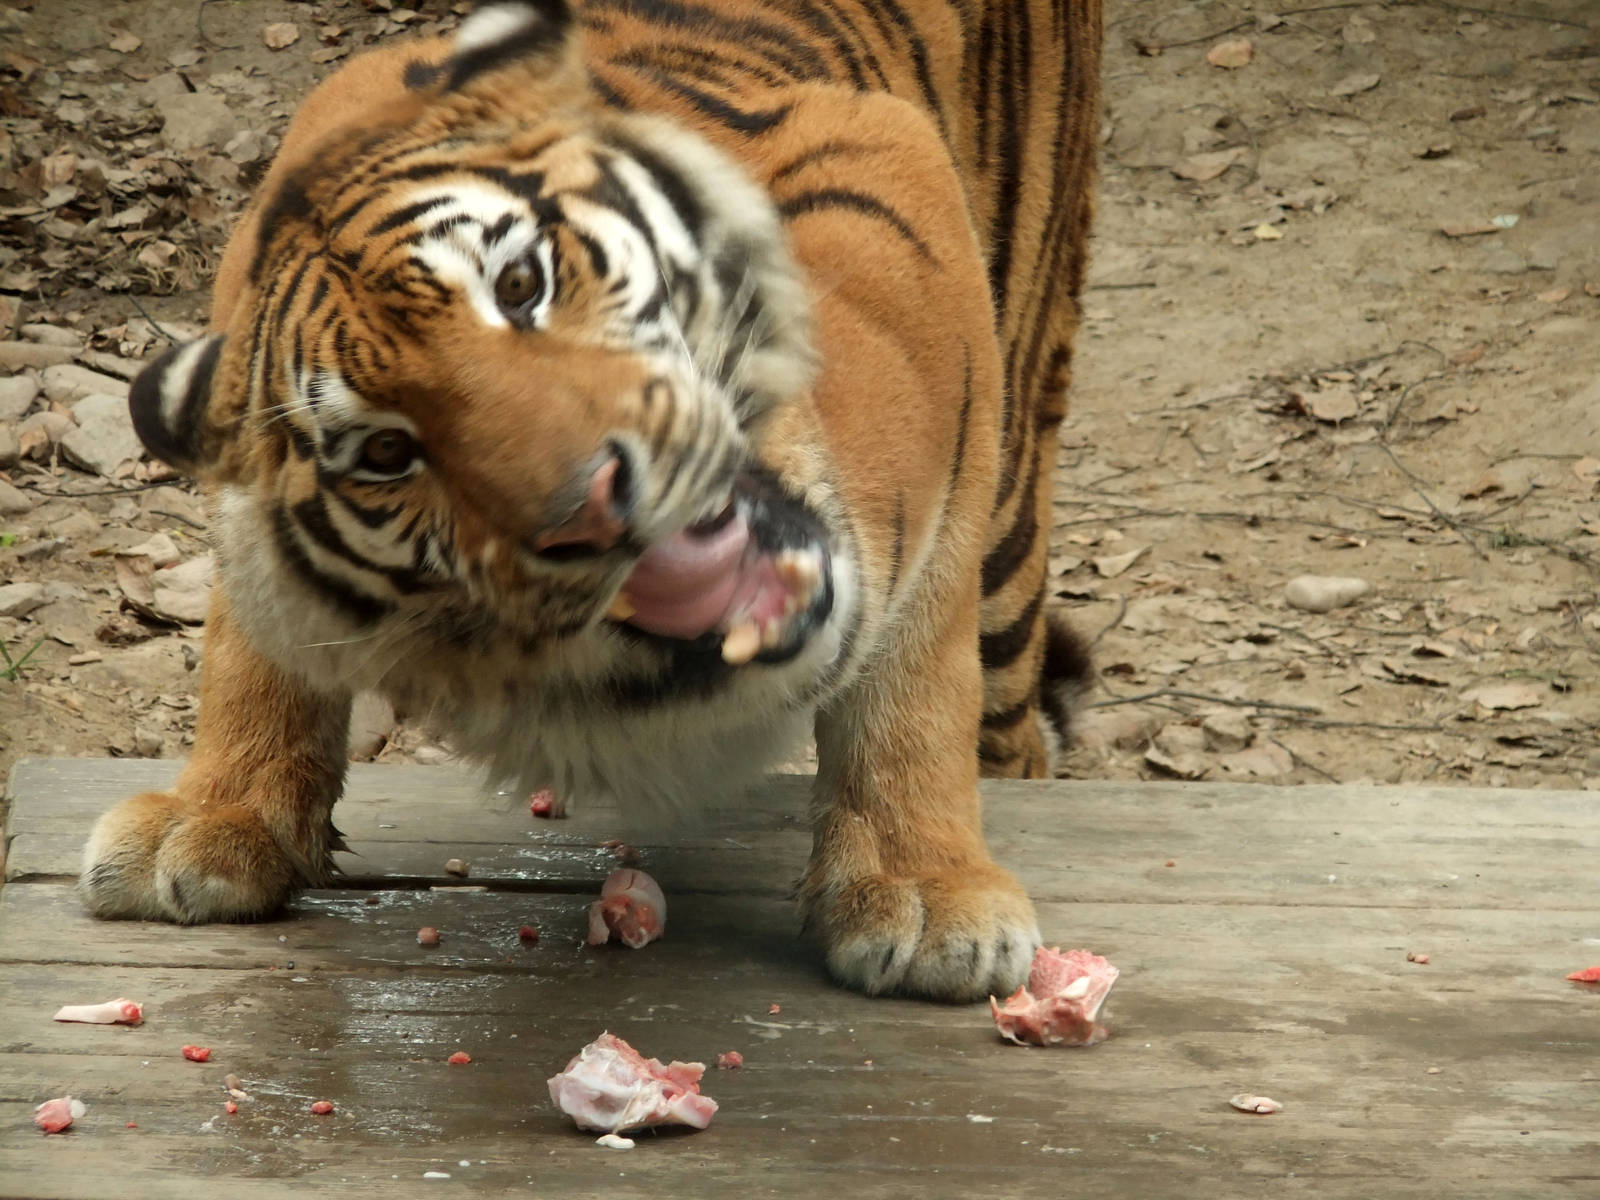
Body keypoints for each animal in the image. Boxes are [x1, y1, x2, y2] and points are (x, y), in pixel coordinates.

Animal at [80, 0, 1102, 1003]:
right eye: (386, 452)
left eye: (520, 284)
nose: (590, 495)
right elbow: (251, 644)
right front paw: (216, 817)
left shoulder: (889, 186)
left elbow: (914, 666)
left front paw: (923, 887)